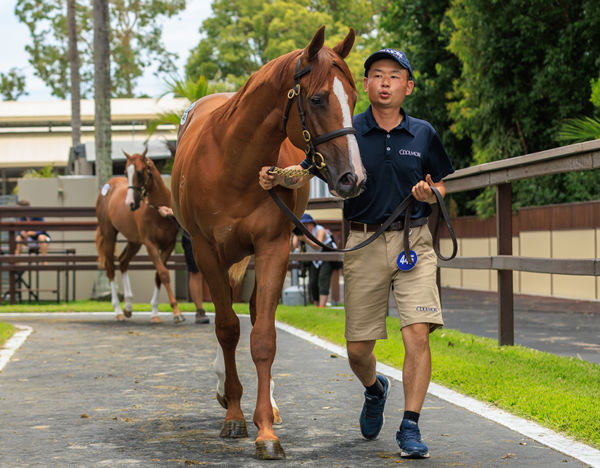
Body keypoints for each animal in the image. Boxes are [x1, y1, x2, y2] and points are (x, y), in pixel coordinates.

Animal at [95, 151, 184, 326]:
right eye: (125, 172)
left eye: (141, 172)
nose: (130, 203)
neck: (158, 212)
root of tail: (108, 186)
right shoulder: (150, 244)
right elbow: (163, 273)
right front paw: (176, 312)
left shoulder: (168, 245)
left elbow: (158, 275)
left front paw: (155, 312)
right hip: (109, 235)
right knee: (110, 268)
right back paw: (118, 311)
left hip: (134, 241)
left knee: (123, 261)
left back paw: (128, 307)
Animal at [170, 26, 366, 460]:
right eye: (318, 98)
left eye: (354, 98)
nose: (354, 178)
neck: (232, 163)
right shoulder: (208, 252)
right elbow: (226, 328)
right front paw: (233, 414)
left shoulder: (273, 247)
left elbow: (263, 337)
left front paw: (265, 430)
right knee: (226, 319)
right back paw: (225, 392)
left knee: (258, 315)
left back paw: (268, 404)